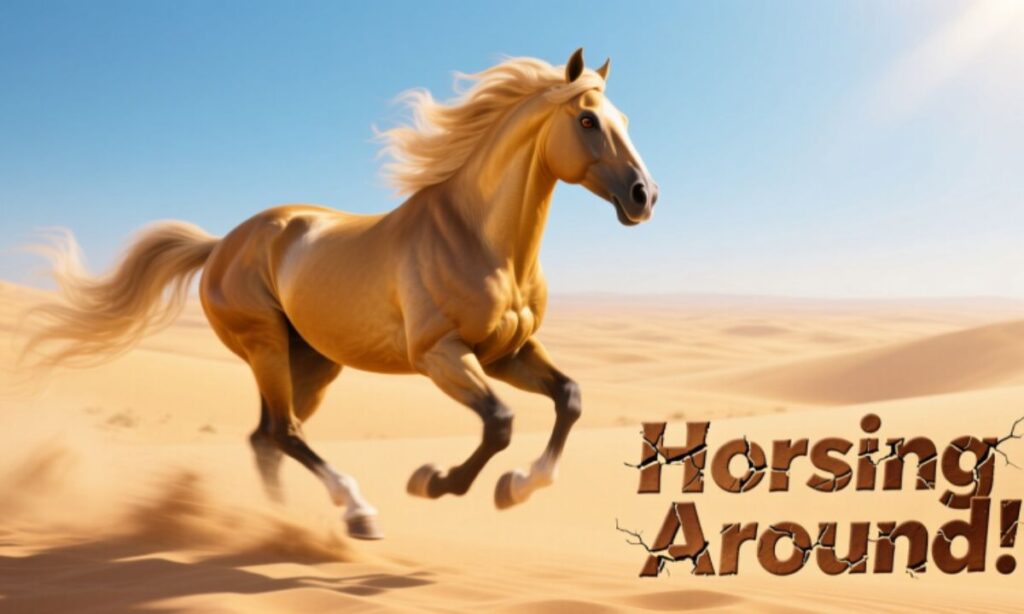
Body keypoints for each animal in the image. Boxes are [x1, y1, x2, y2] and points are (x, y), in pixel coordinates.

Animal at [22, 48, 658, 540]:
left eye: (625, 117)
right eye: (587, 121)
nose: (643, 195)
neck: (480, 237)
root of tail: (222, 244)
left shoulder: (507, 354)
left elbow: (569, 399)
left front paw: (517, 487)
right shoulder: (441, 355)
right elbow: (499, 422)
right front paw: (434, 482)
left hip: (311, 362)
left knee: (266, 438)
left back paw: (280, 525)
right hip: (265, 347)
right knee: (284, 433)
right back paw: (355, 512)